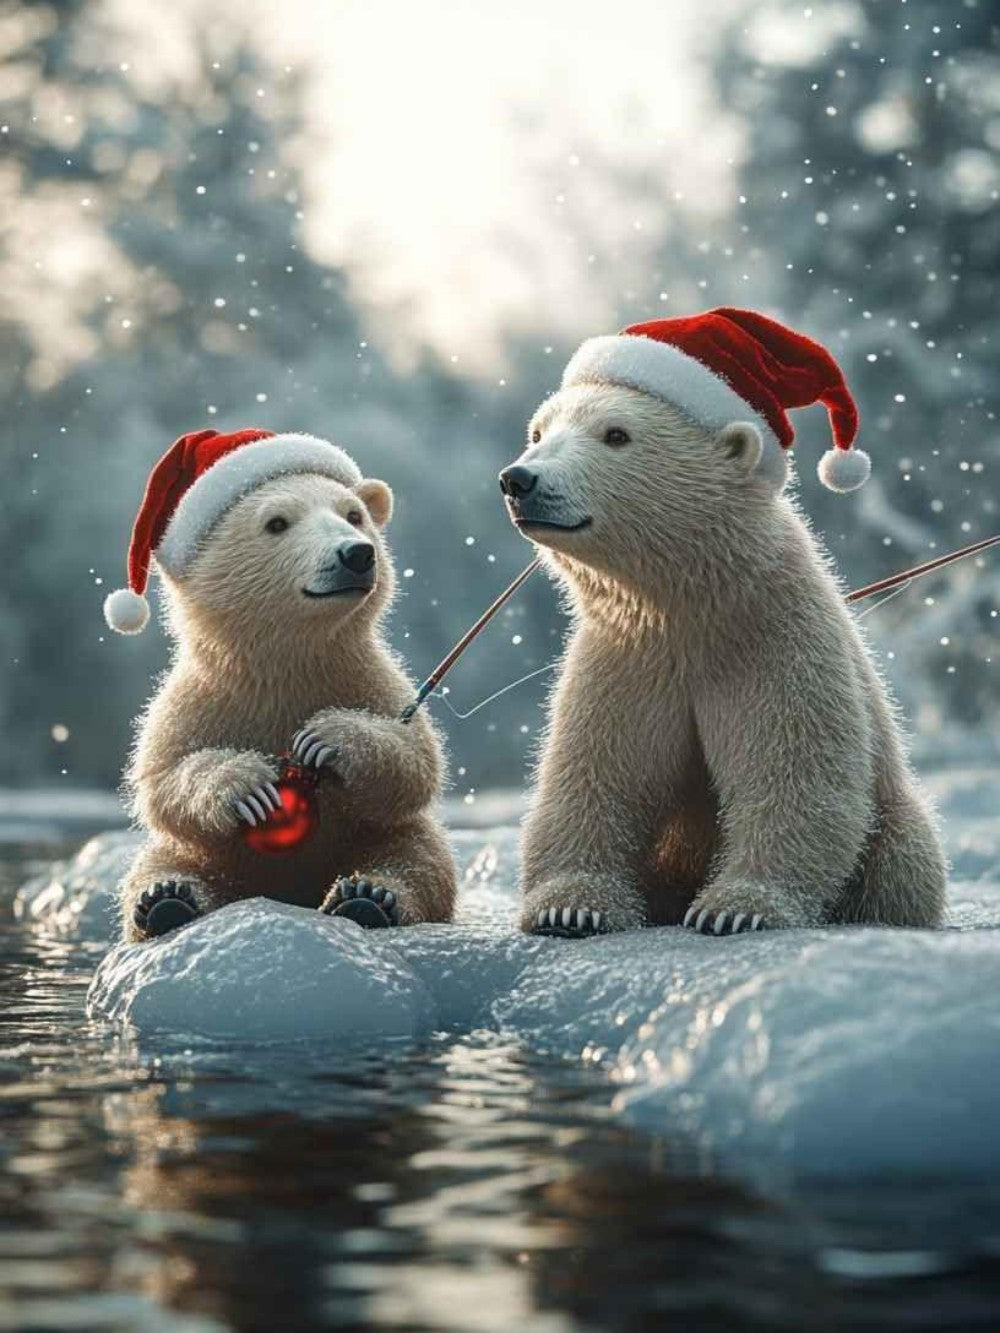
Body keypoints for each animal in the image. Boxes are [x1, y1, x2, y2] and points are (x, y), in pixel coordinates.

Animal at [103, 428, 456, 942]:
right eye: (276, 523)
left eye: (354, 514)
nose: (356, 553)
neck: (284, 663)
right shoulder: (196, 698)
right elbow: (164, 778)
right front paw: (246, 784)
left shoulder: (367, 678)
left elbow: (414, 760)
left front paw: (326, 738)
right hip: (217, 857)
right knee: (158, 863)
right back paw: (166, 900)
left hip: (374, 836)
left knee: (418, 859)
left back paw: (368, 896)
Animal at [498, 307, 947, 938]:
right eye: (538, 432)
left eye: (616, 434)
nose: (520, 480)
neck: (694, 605)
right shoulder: (627, 653)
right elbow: (592, 772)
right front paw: (569, 908)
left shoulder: (774, 638)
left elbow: (794, 772)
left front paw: (736, 908)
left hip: (895, 822)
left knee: (904, 858)